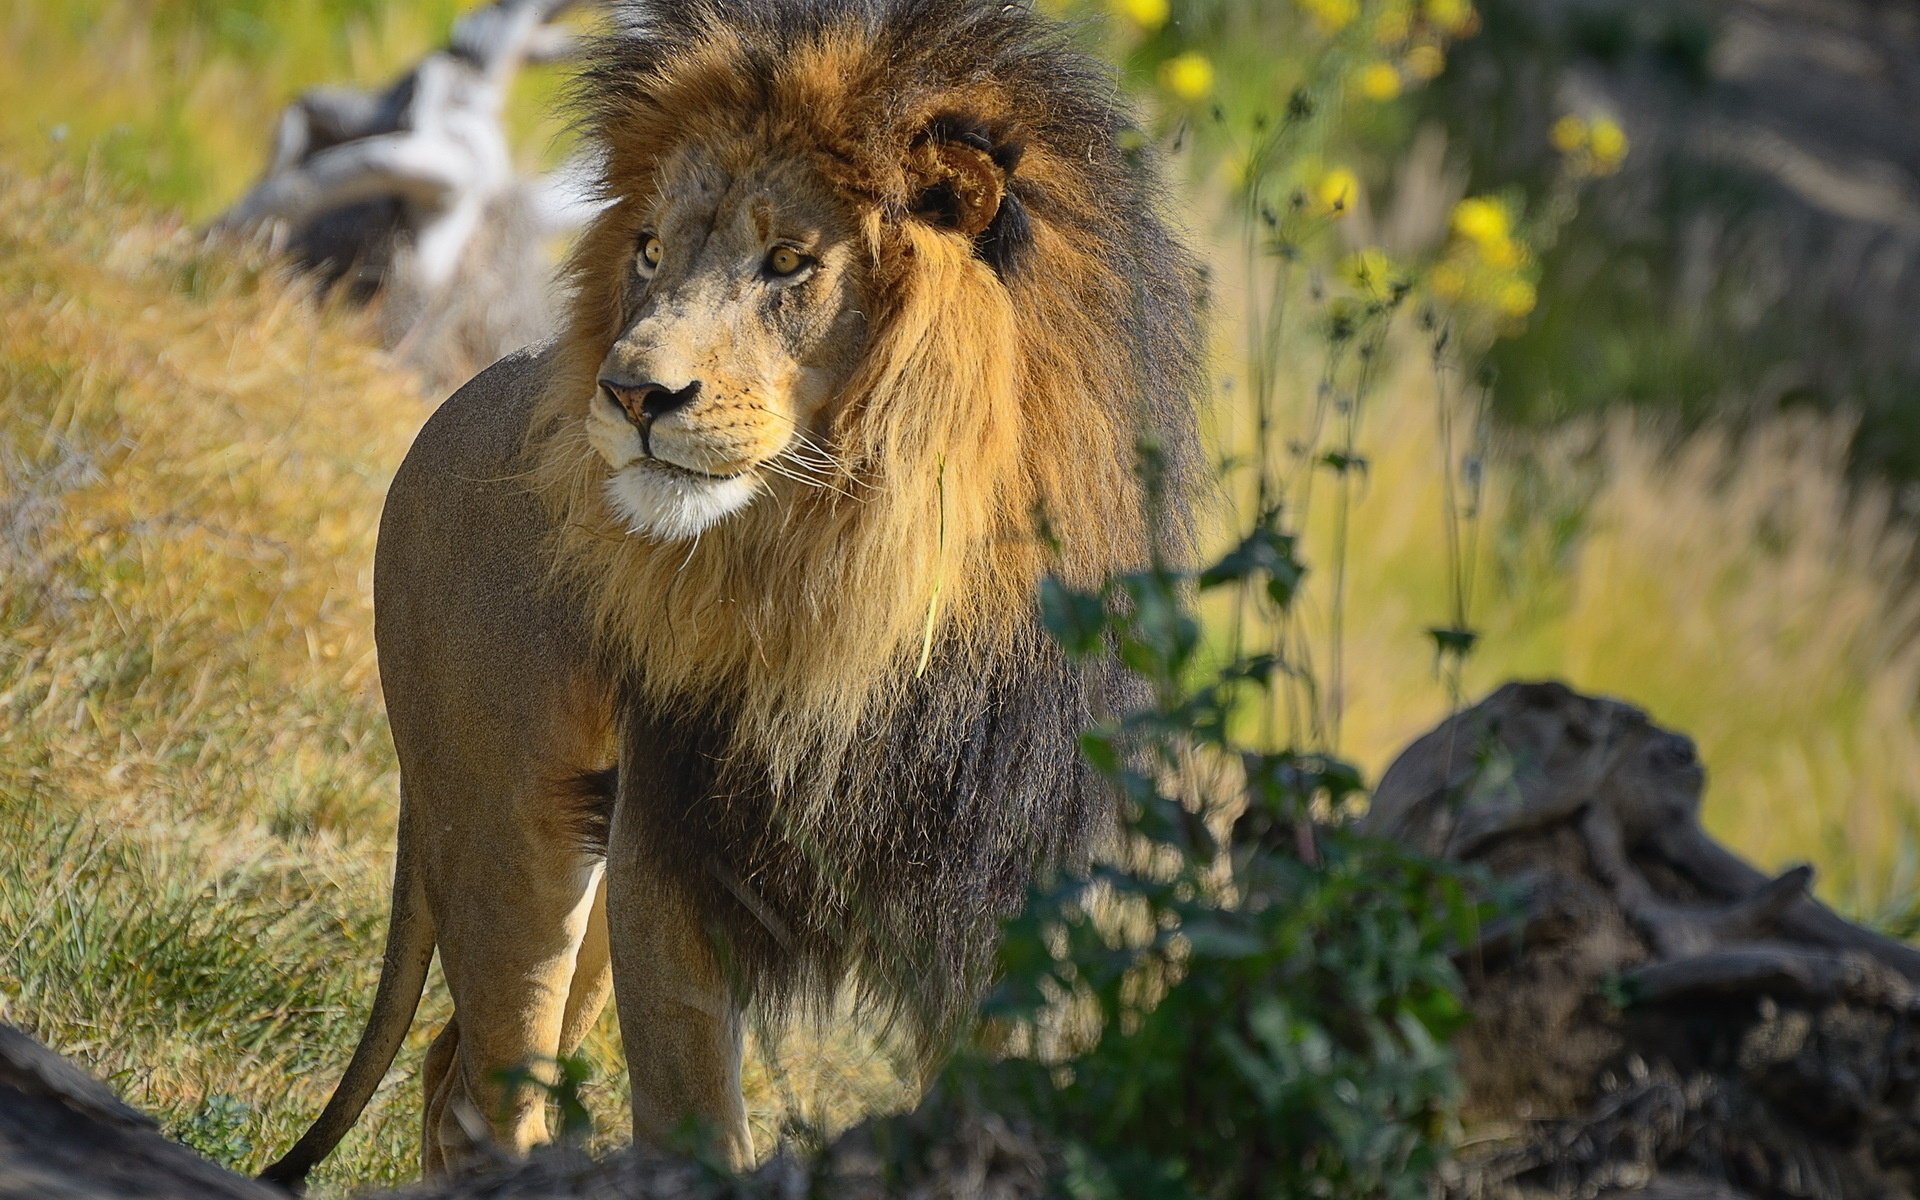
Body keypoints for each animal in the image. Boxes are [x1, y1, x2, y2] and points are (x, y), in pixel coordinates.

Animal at [260, 0, 1203, 1186]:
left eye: (789, 261)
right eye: (651, 251)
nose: (631, 394)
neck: (852, 592)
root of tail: (460, 397)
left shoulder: (1001, 898)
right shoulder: (673, 854)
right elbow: (696, 1118)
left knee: (446, 1068)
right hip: (509, 827)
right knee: (491, 1088)